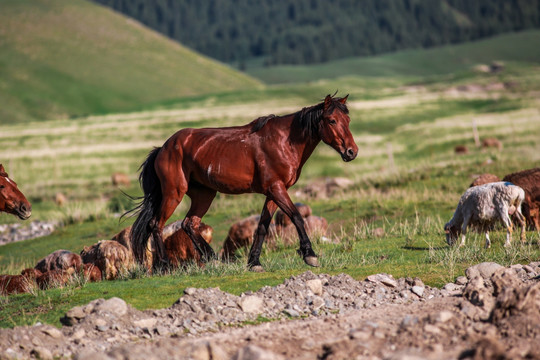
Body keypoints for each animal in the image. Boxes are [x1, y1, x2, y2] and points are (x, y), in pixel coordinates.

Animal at [127, 94, 358, 272]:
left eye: (347, 120)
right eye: (332, 121)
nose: (351, 152)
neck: (284, 141)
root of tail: (164, 147)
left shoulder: (273, 191)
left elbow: (262, 227)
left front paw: (254, 262)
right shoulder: (277, 188)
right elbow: (296, 217)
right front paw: (309, 254)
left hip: (204, 194)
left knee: (189, 224)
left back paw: (213, 259)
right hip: (174, 192)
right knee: (156, 224)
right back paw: (164, 265)